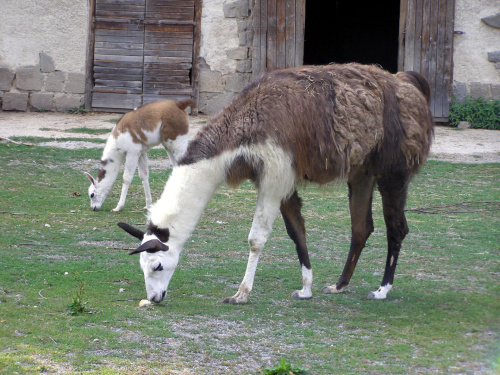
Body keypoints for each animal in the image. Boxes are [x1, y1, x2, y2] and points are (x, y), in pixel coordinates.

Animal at [117, 64, 434, 306]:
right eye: (142, 267)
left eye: (158, 265)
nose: (154, 297)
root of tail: (407, 83)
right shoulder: (282, 181)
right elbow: (297, 233)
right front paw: (305, 289)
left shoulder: (274, 175)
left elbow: (256, 239)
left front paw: (241, 294)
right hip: (362, 171)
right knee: (361, 228)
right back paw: (339, 285)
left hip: (393, 169)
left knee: (397, 228)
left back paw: (382, 290)